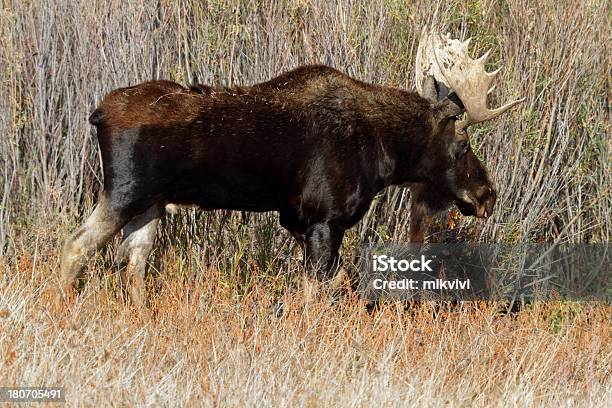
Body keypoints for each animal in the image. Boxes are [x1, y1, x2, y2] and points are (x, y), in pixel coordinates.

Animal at [59, 31, 524, 306]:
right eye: (462, 145)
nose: (487, 195)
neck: (386, 151)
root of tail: (98, 114)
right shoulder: (325, 218)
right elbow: (319, 291)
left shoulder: (297, 220)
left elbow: (334, 283)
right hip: (125, 191)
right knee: (76, 246)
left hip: (151, 203)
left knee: (132, 262)